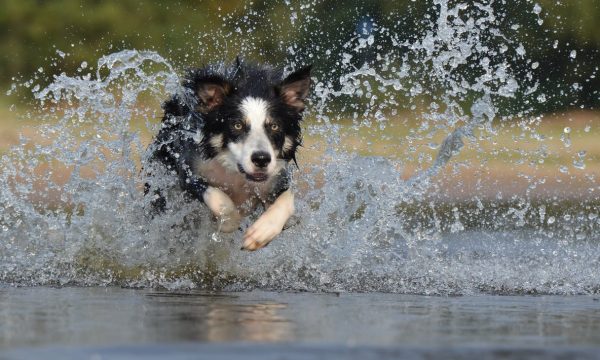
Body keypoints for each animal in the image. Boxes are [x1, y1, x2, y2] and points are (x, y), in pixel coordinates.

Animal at [144, 59, 310, 250]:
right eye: (237, 125)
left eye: (274, 126)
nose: (261, 159)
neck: (235, 173)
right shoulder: (188, 170)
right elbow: (219, 198)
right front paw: (229, 222)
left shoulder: (277, 177)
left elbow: (287, 200)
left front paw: (261, 233)